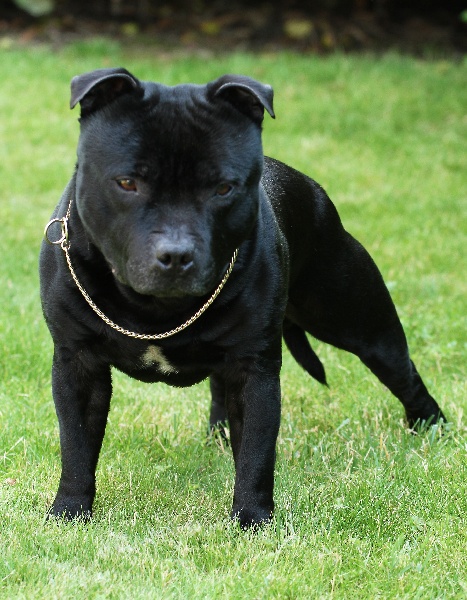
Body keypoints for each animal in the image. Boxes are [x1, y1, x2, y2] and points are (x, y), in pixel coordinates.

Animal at [39, 68, 445, 528]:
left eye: (223, 188)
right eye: (127, 183)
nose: (176, 255)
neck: (157, 310)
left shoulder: (255, 371)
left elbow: (255, 453)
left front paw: (252, 518)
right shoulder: (77, 365)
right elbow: (76, 446)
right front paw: (69, 511)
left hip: (357, 319)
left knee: (402, 370)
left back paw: (432, 428)